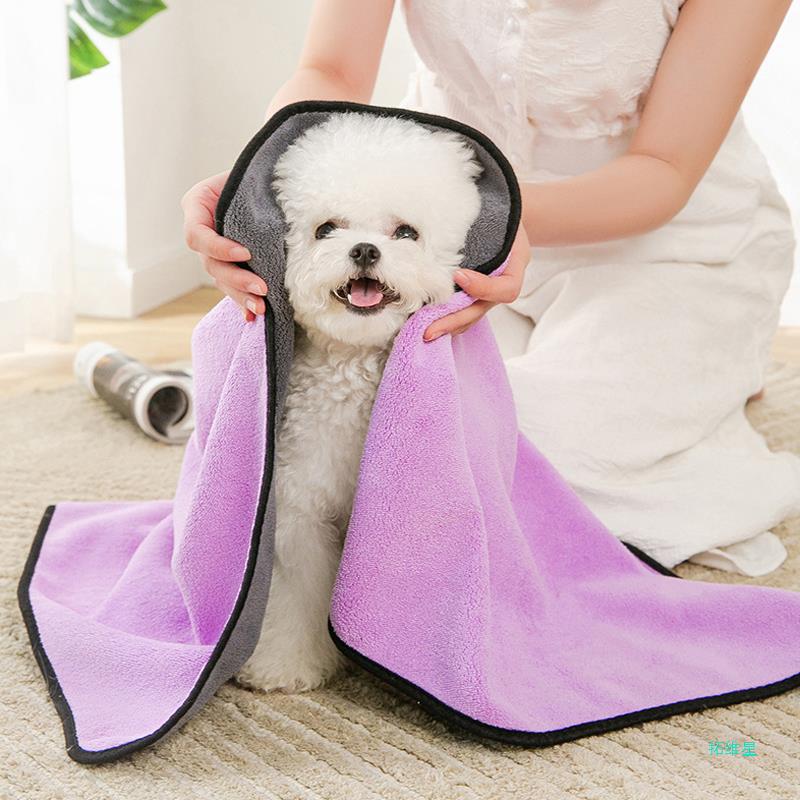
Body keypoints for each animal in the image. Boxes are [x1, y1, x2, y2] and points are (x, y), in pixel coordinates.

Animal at [235, 111, 483, 693]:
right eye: (327, 228)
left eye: (406, 232)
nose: (366, 250)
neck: (350, 364)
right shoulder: (300, 512)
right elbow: (296, 592)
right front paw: (286, 663)